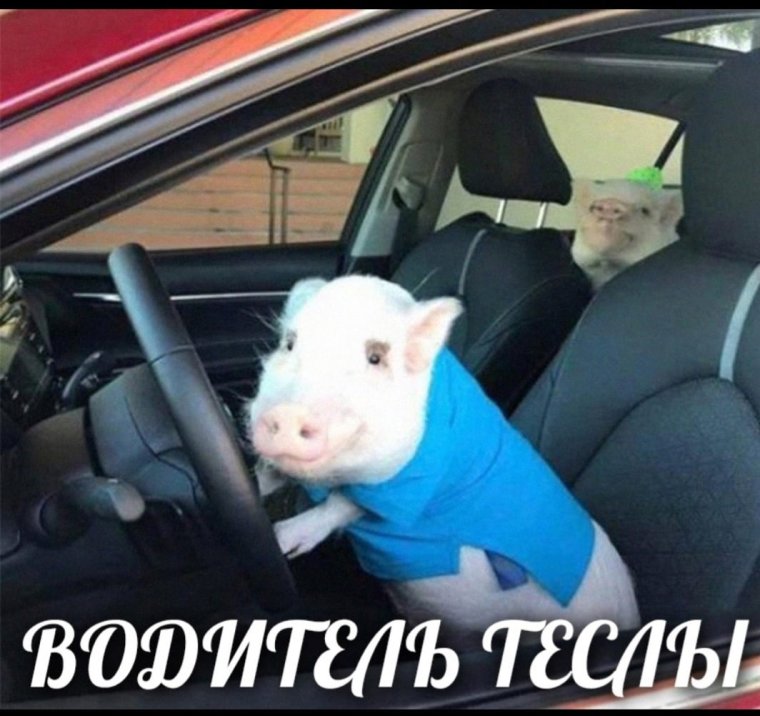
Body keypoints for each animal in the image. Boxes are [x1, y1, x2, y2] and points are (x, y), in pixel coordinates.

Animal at [248, 275, 640, 647]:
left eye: (376, 357)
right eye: (289, 344)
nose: (287, 415)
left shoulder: (416, 483)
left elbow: (346, 504)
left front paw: (283, 539)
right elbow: (275, 475)